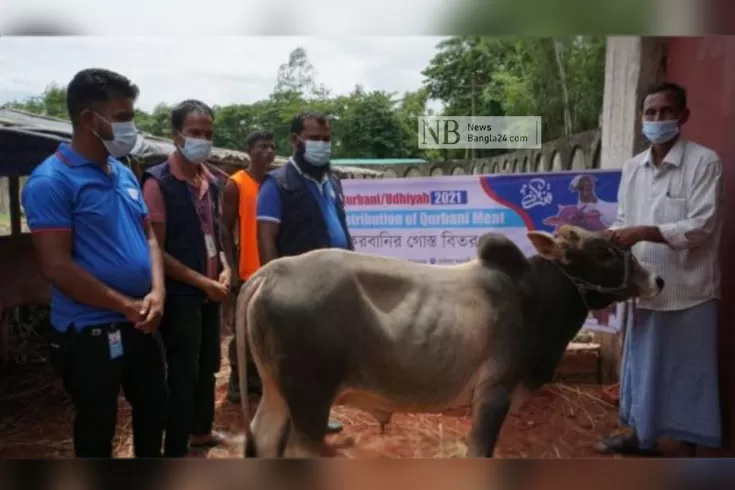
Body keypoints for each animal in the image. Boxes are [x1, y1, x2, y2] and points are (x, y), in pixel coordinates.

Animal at [236, 226, 668, 460]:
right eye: (604, 252)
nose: (657, 279)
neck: (531, 298)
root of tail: (273, 271)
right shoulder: (494, 395)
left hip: (278, 392)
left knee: (262, 438)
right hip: (309, 398)